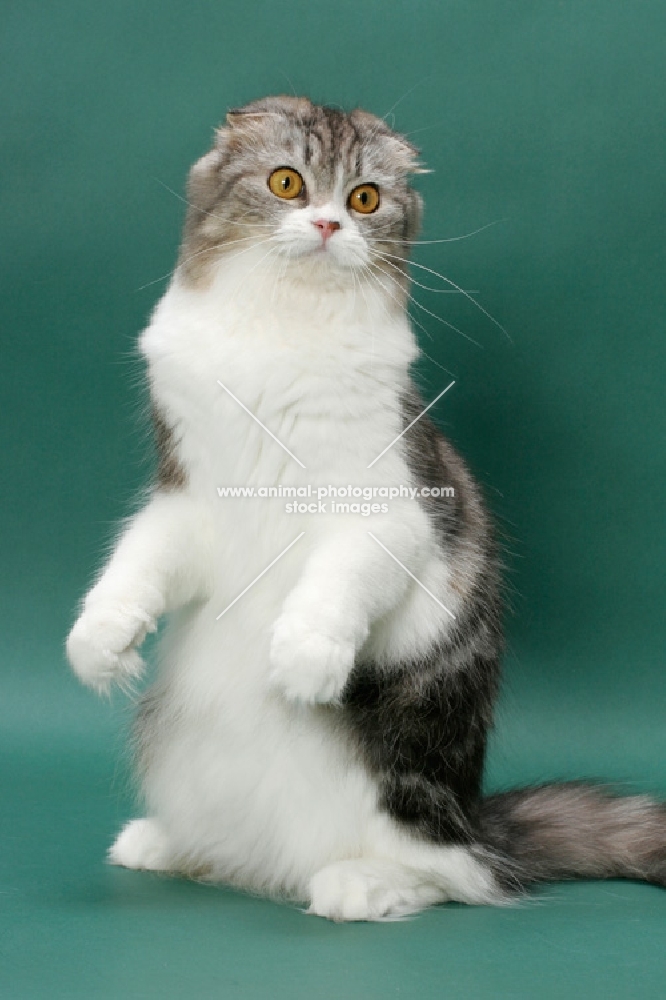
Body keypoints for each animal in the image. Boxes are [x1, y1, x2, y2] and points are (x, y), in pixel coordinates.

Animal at [65, 97, 664, 916]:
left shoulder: (392, 511)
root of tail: (474, 819)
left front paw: (303, 658)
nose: (327, 224)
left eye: (365, 198)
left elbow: (335, 585)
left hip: (399, 792)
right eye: (288, 182)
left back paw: (356, 885)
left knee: (455, 878)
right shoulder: (186, 504)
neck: (281, 334)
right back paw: (169, 847)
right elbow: (134, 566)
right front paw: (99, 644)